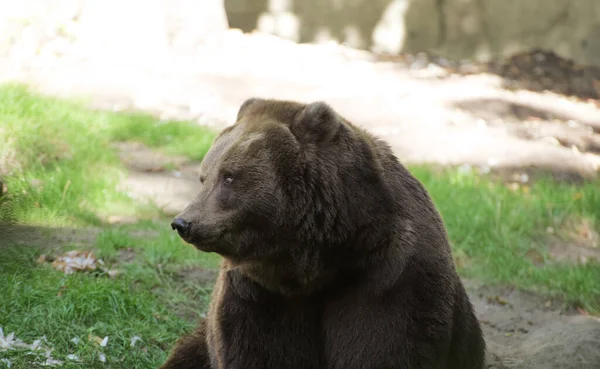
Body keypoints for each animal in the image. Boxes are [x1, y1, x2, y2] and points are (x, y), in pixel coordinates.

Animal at [161, 98, 488, 368]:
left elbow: (382, 348)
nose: (183, 223)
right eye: (204, 177)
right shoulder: (257, 293)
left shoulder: (390, 280)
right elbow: (256, 351)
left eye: (229, 176)